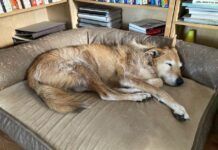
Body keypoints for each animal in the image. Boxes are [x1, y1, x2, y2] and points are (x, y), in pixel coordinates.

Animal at [27, 36, 190, 120]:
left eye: (180, 66)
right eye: (169, 64)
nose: (181, 81)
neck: (147, 60)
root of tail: (31, 70)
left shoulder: (126, 79)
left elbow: (157, 82)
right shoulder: (126, 76)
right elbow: (160, 88)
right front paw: (178, 108)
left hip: (86, 78)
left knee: (109, 89)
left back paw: (138, 93)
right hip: (82, 66)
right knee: (107, 94)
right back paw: (138, 96)